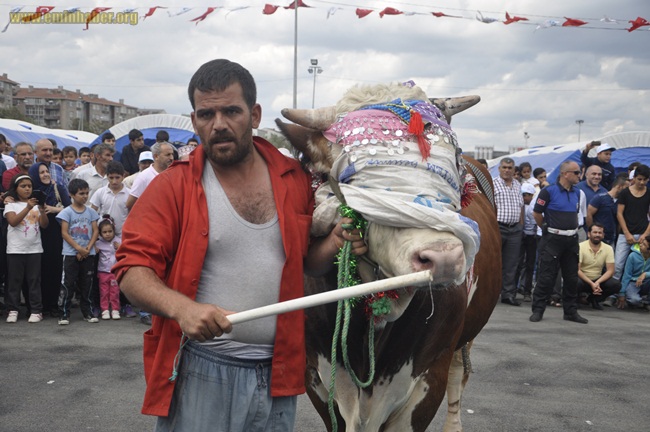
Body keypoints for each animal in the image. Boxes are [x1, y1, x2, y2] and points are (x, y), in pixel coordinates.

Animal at [276, 82, 498, 432]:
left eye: (451, 168)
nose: (444, 258)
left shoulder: (428, 381)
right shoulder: (318, 379)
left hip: (465, 338)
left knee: (458, 376)